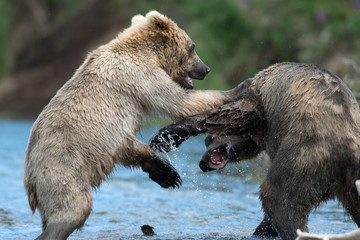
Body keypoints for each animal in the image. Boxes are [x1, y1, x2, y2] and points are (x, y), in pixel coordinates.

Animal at [23, 10, 245, 239]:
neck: (149, 55)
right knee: (73, 207)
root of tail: (30, 176)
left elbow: (132, 148)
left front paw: (167, 173)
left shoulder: (117, 133)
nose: (206, 69)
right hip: (62, 167)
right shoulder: (140, 78)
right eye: (192, 47)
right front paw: (238, 88)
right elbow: (181, 102)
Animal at [150, 62, 360, 240]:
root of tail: (348, 155)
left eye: (208, 140)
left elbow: (231, 112)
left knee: (279, 196)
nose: (202, 163)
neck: (261, 136)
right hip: (348, 185)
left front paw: (166, 136)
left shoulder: (257, 98)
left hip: (307, 154)